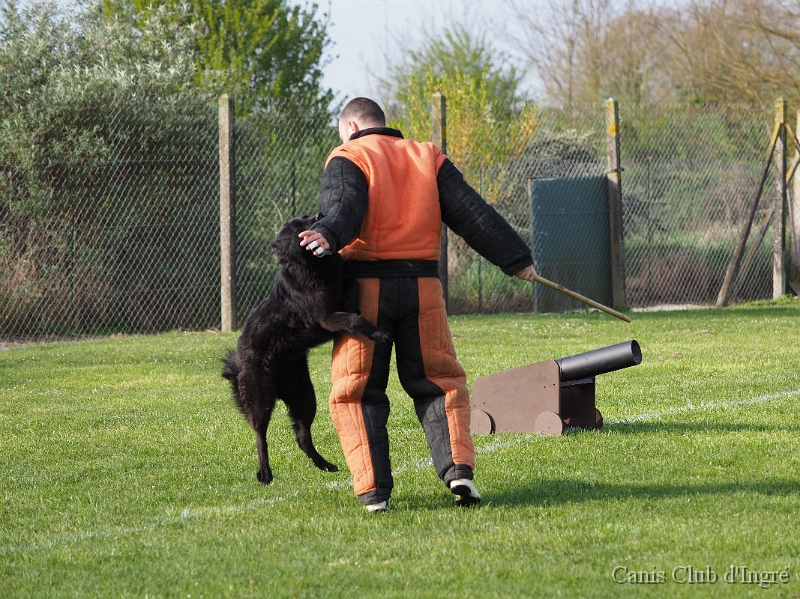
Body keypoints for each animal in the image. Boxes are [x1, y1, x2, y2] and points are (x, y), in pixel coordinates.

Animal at [222, 214, 391, 484]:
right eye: (299, 226)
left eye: (305, 219)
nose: (320, 216)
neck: (314, 267)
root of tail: (238, 364)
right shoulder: (326, 318)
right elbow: (354, 320)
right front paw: (378, 333)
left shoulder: (338, 294)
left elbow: (352, 285)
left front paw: (354, 304)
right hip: (261, 398)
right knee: (260, 437)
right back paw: (265, 472)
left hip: (303, 396)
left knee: (302, 437)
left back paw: (324, 464)